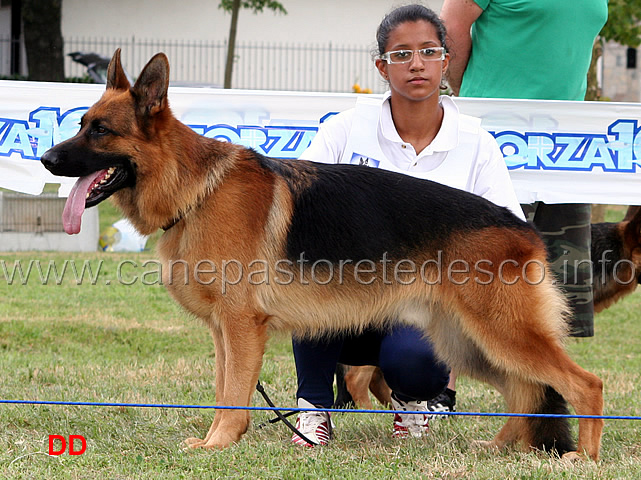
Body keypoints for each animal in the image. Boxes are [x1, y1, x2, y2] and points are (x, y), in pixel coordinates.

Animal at [41, 49, 604, 462]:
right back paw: (502, 448)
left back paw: (585, 458)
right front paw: (217, 438)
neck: (195, 189)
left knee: (583, 384)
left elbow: (233, 394)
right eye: (82, 123)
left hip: (498, 335)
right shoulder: (224, 332)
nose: (45, 158)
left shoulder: (241, 327)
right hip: (469, 343)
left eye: (100, 130)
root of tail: (523, 227)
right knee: (525, 392)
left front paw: (219, 443)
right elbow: (224, 387)